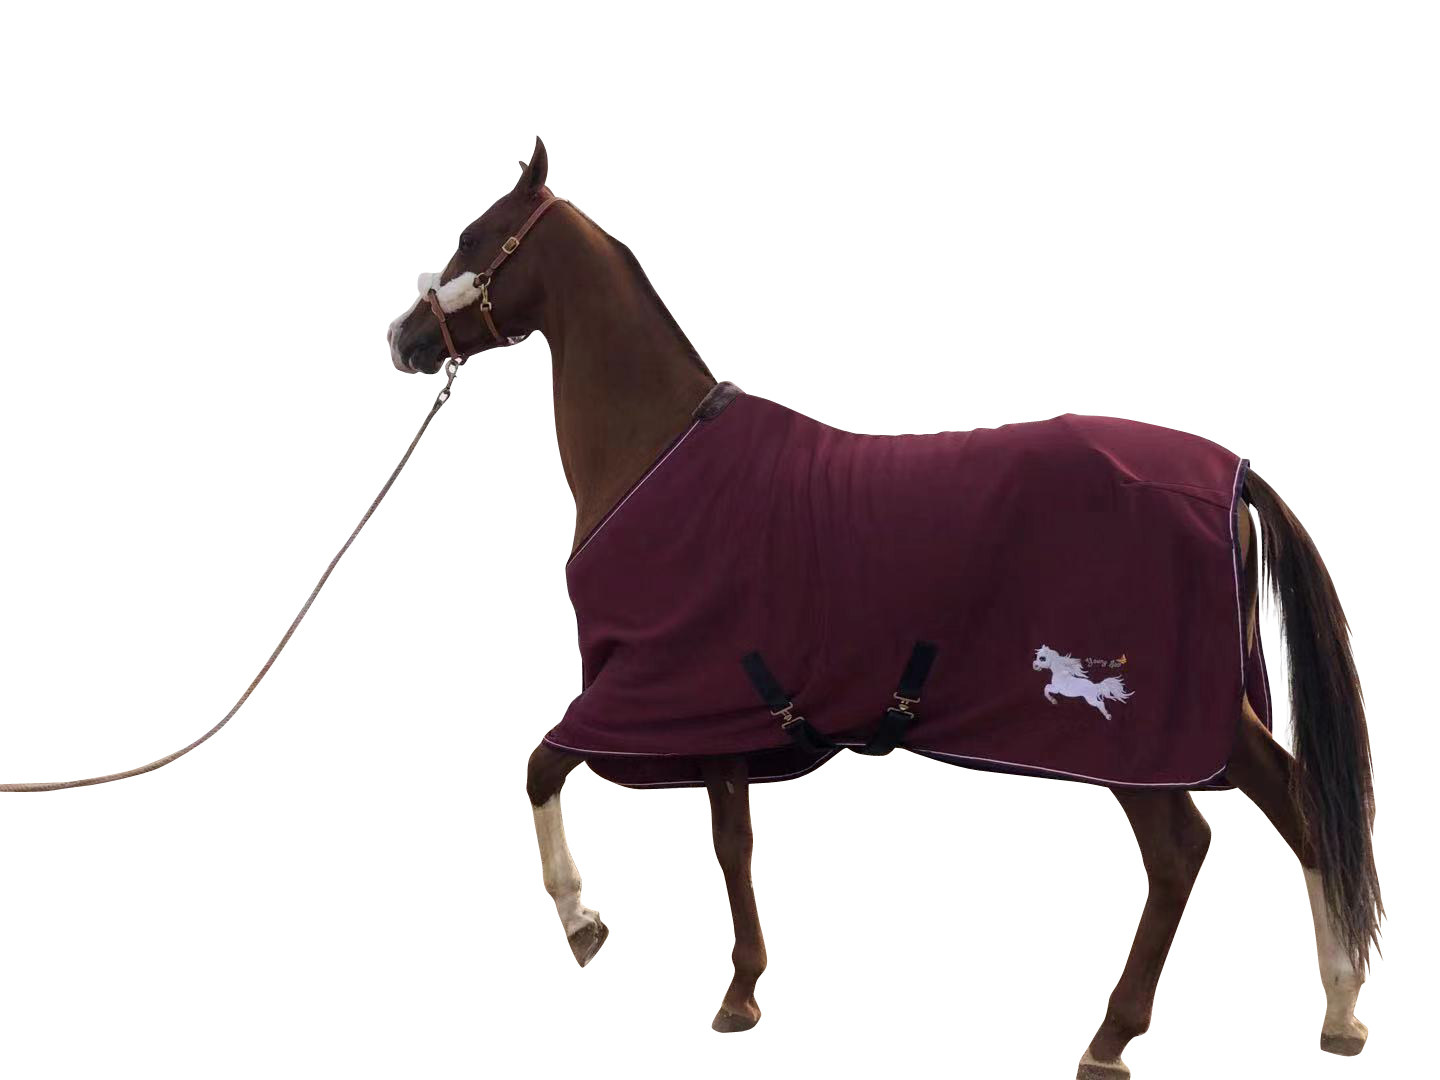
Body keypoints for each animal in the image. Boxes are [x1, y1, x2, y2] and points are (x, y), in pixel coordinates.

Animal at [386, 138, 1381, 1080]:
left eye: (474, 234)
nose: (403, 338)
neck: (657, 450)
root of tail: (1232, 476)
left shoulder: (640, 692)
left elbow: (540, 768)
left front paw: (581, 921)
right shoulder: (721, 715)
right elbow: (732, 843)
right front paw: (742, 991)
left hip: (1138, 739)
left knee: (1181, 849)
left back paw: (1111, 1037)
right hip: (1212, 716)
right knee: (1301, 806)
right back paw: (1338, 1010)